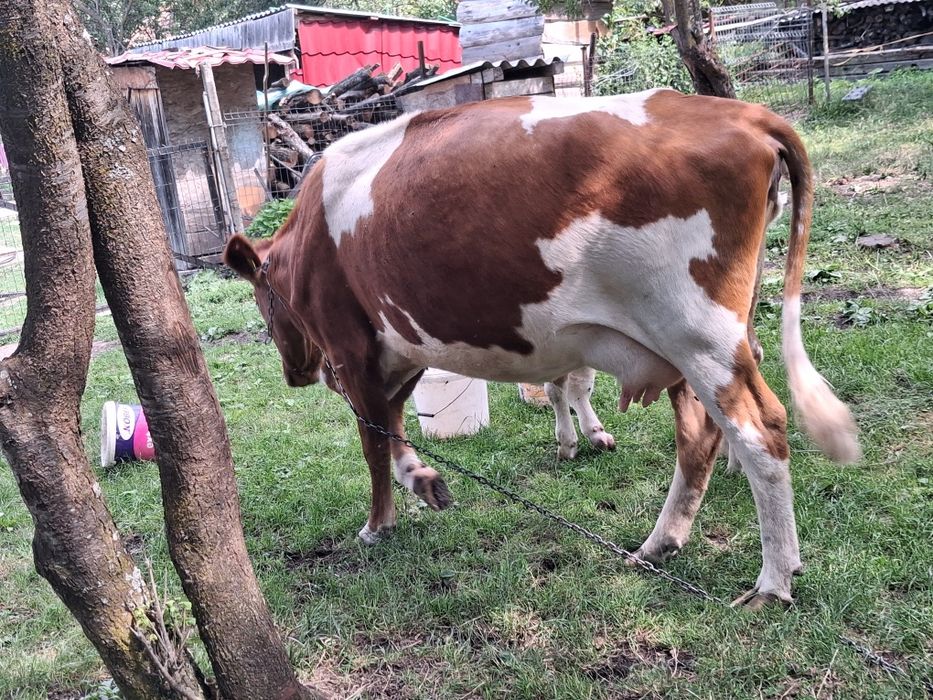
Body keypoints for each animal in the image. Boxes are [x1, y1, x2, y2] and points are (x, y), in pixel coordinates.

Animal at [224, 89, 860, 609]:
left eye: (260, 300)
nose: (295, 373)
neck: (306, 238)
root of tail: (745, 114)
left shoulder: (350, 346)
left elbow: (373, 441)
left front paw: (378, 523)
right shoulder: (400, 349)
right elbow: (396, 424)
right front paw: (426, 482)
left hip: (696, 332)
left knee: (760, 428)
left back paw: (772, 581)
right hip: (690, 344)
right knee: (700, 434)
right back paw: (660, 543)